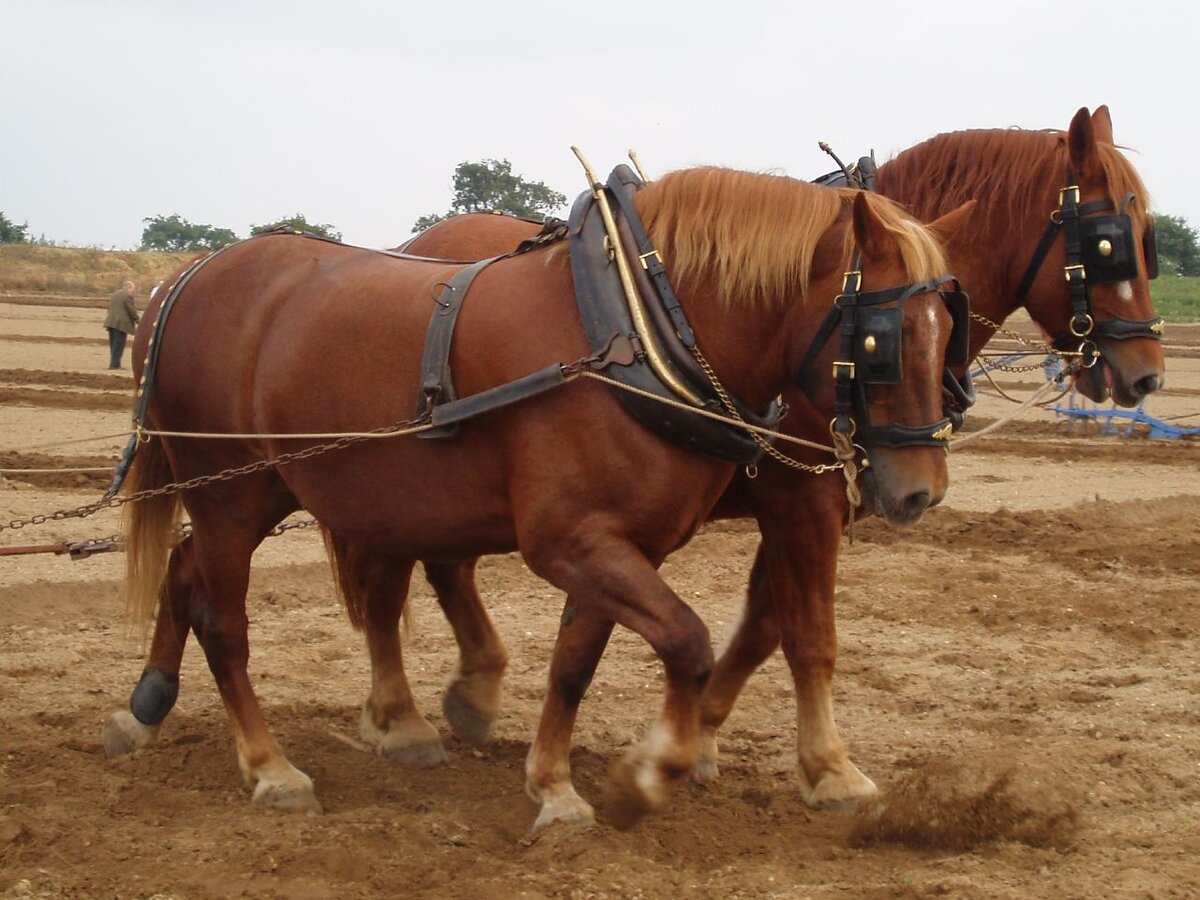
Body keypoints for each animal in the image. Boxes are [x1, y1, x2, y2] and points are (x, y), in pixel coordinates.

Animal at [314, 105, 1166, 825]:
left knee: (431, 565)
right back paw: (409, 716)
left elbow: (761, 625)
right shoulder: (802, 504)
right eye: (1107, 241)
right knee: (396, 575)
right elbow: (806, 633)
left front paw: (703, 736)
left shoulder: (806, 504)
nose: (1148, 376)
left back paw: (456, 694)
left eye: (1149, 239)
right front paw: (826, 768)